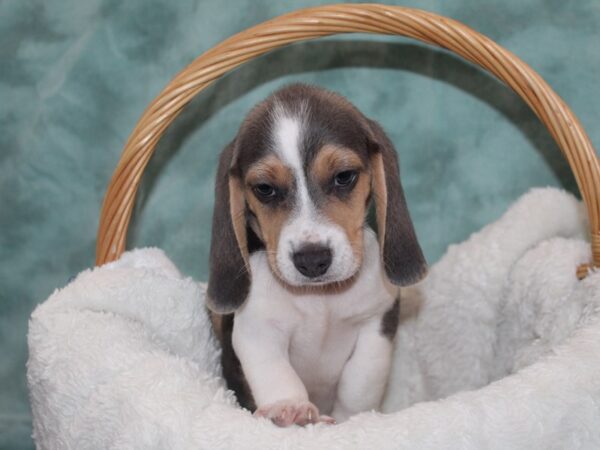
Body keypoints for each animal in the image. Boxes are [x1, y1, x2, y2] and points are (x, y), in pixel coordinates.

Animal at [209, 83, 424, 426]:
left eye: (344, 176)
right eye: (265, 188)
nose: (311, 260)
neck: (321, 299)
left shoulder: (377, 323)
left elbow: (359, 383)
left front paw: (352, 418)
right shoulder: (256, 329)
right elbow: (276, 373)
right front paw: (290, 407)